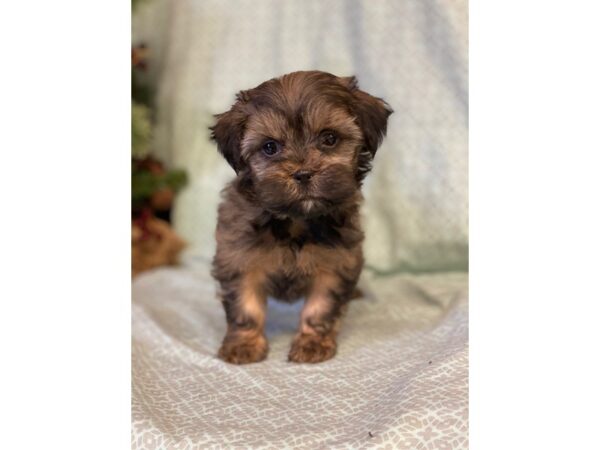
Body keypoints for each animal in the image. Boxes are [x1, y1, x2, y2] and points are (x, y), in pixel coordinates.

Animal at [211, 71, 394, 366]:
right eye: (270, 147)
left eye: (329, 138)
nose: (303, 174)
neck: (296, 221)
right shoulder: (239, 257)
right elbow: (245, 306)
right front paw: (244, 344)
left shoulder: (335, 262)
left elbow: (321, 307)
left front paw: (312, 343)